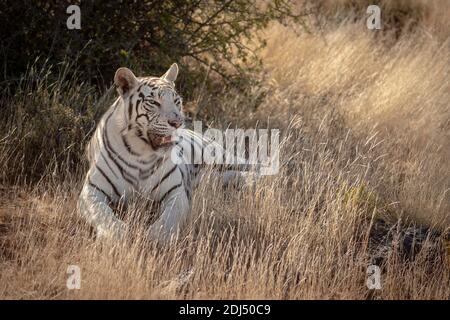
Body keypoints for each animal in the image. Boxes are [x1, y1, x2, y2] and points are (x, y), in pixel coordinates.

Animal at [77, 63, 246, 244]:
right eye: (154, 102)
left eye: (177, 101)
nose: (178, 123)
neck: (141, 153)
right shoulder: (91, 191)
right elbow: (103, 215)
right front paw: (117, 237)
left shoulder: (176, 194)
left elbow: (169, 218)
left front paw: (156, 238)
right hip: (212, 177)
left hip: (221, 156)